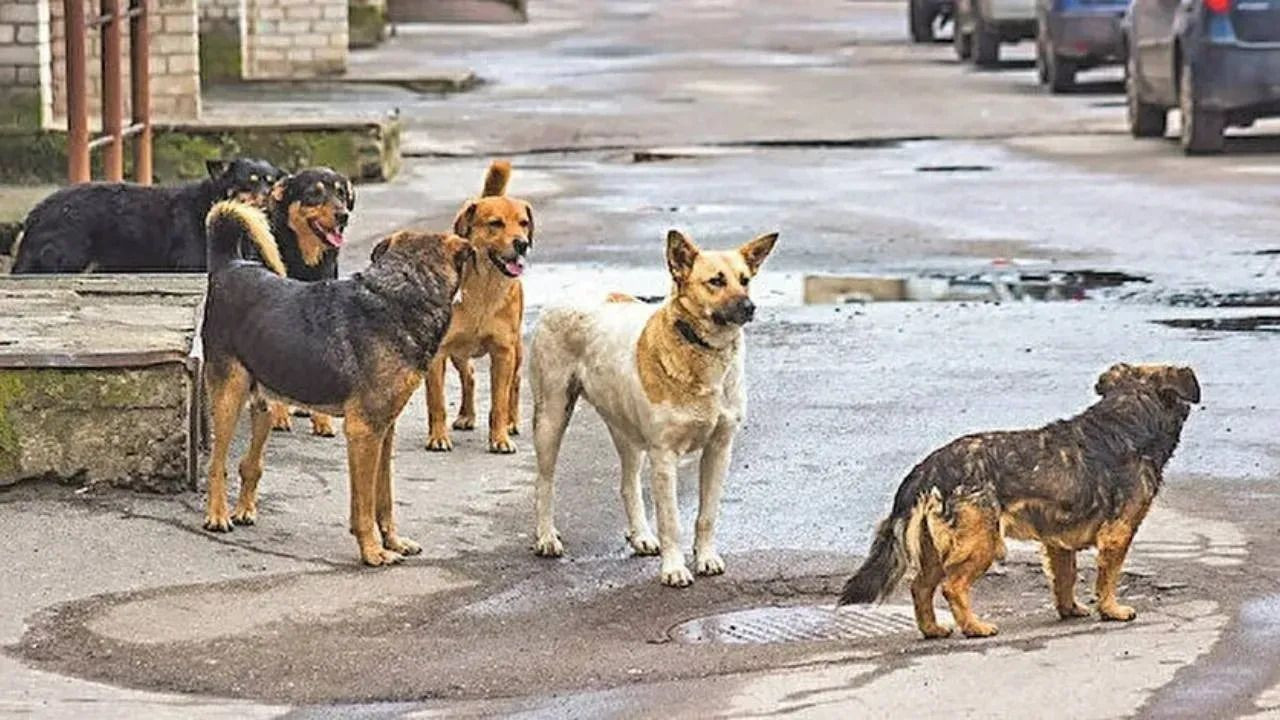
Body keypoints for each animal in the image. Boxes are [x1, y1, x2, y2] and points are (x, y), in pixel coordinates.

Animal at [11, 158, 281, 272]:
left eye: (271, 181)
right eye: (251, 181)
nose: (270, 195)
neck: (211, 204)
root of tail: (35, 213)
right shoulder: (191, 264)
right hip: (66, 261)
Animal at [202, 198, 473, 563]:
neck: (400, 295)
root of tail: (229, 265)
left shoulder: (384, 430)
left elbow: (384, 499)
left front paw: (393, 541)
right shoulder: (363, 431)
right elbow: (364, 506)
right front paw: (372, 552)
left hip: (265, 404)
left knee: (250, 463)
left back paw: (244, 510)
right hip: (229, 396)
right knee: (217, 464)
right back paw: (217, 515)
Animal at [427, 161, 532, 453]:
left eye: (524, 223)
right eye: (495, 224)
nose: (522, 244)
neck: (484, 287)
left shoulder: (503, 352)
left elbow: (499, 402)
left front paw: (500, 438)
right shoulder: (438, 353)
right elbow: (436, 402)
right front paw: (437, 436)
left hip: (516, 350)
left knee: (515, 383)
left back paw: (512, 421)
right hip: (458, 353)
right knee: (470, 376)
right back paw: (466, 415)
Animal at [524, 226, 773, 586]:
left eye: (745, 279)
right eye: (716, 281)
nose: (749, 307)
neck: (702, 352)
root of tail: (568, 293)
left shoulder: (719, 449)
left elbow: (707, 515)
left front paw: (706, 558)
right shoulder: (664, 456)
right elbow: (671, 521)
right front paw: (674, 569)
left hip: (625, 429)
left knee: (628, 485)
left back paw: (640, 535)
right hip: (551, 417)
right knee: (545, 481)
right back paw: (546, 537)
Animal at [839, 361, 1198, 635]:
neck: (1126, 418)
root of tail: (928, 468)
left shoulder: (1057, 542)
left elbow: (1064, 578)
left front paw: (1069, 609)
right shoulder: (1118, 534)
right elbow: (1107, 578)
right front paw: (1112, 610)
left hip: (935, 549)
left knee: (920, 587)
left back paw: (933, 630)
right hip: (981, 543)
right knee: (952, 587)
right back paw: (975, 627)